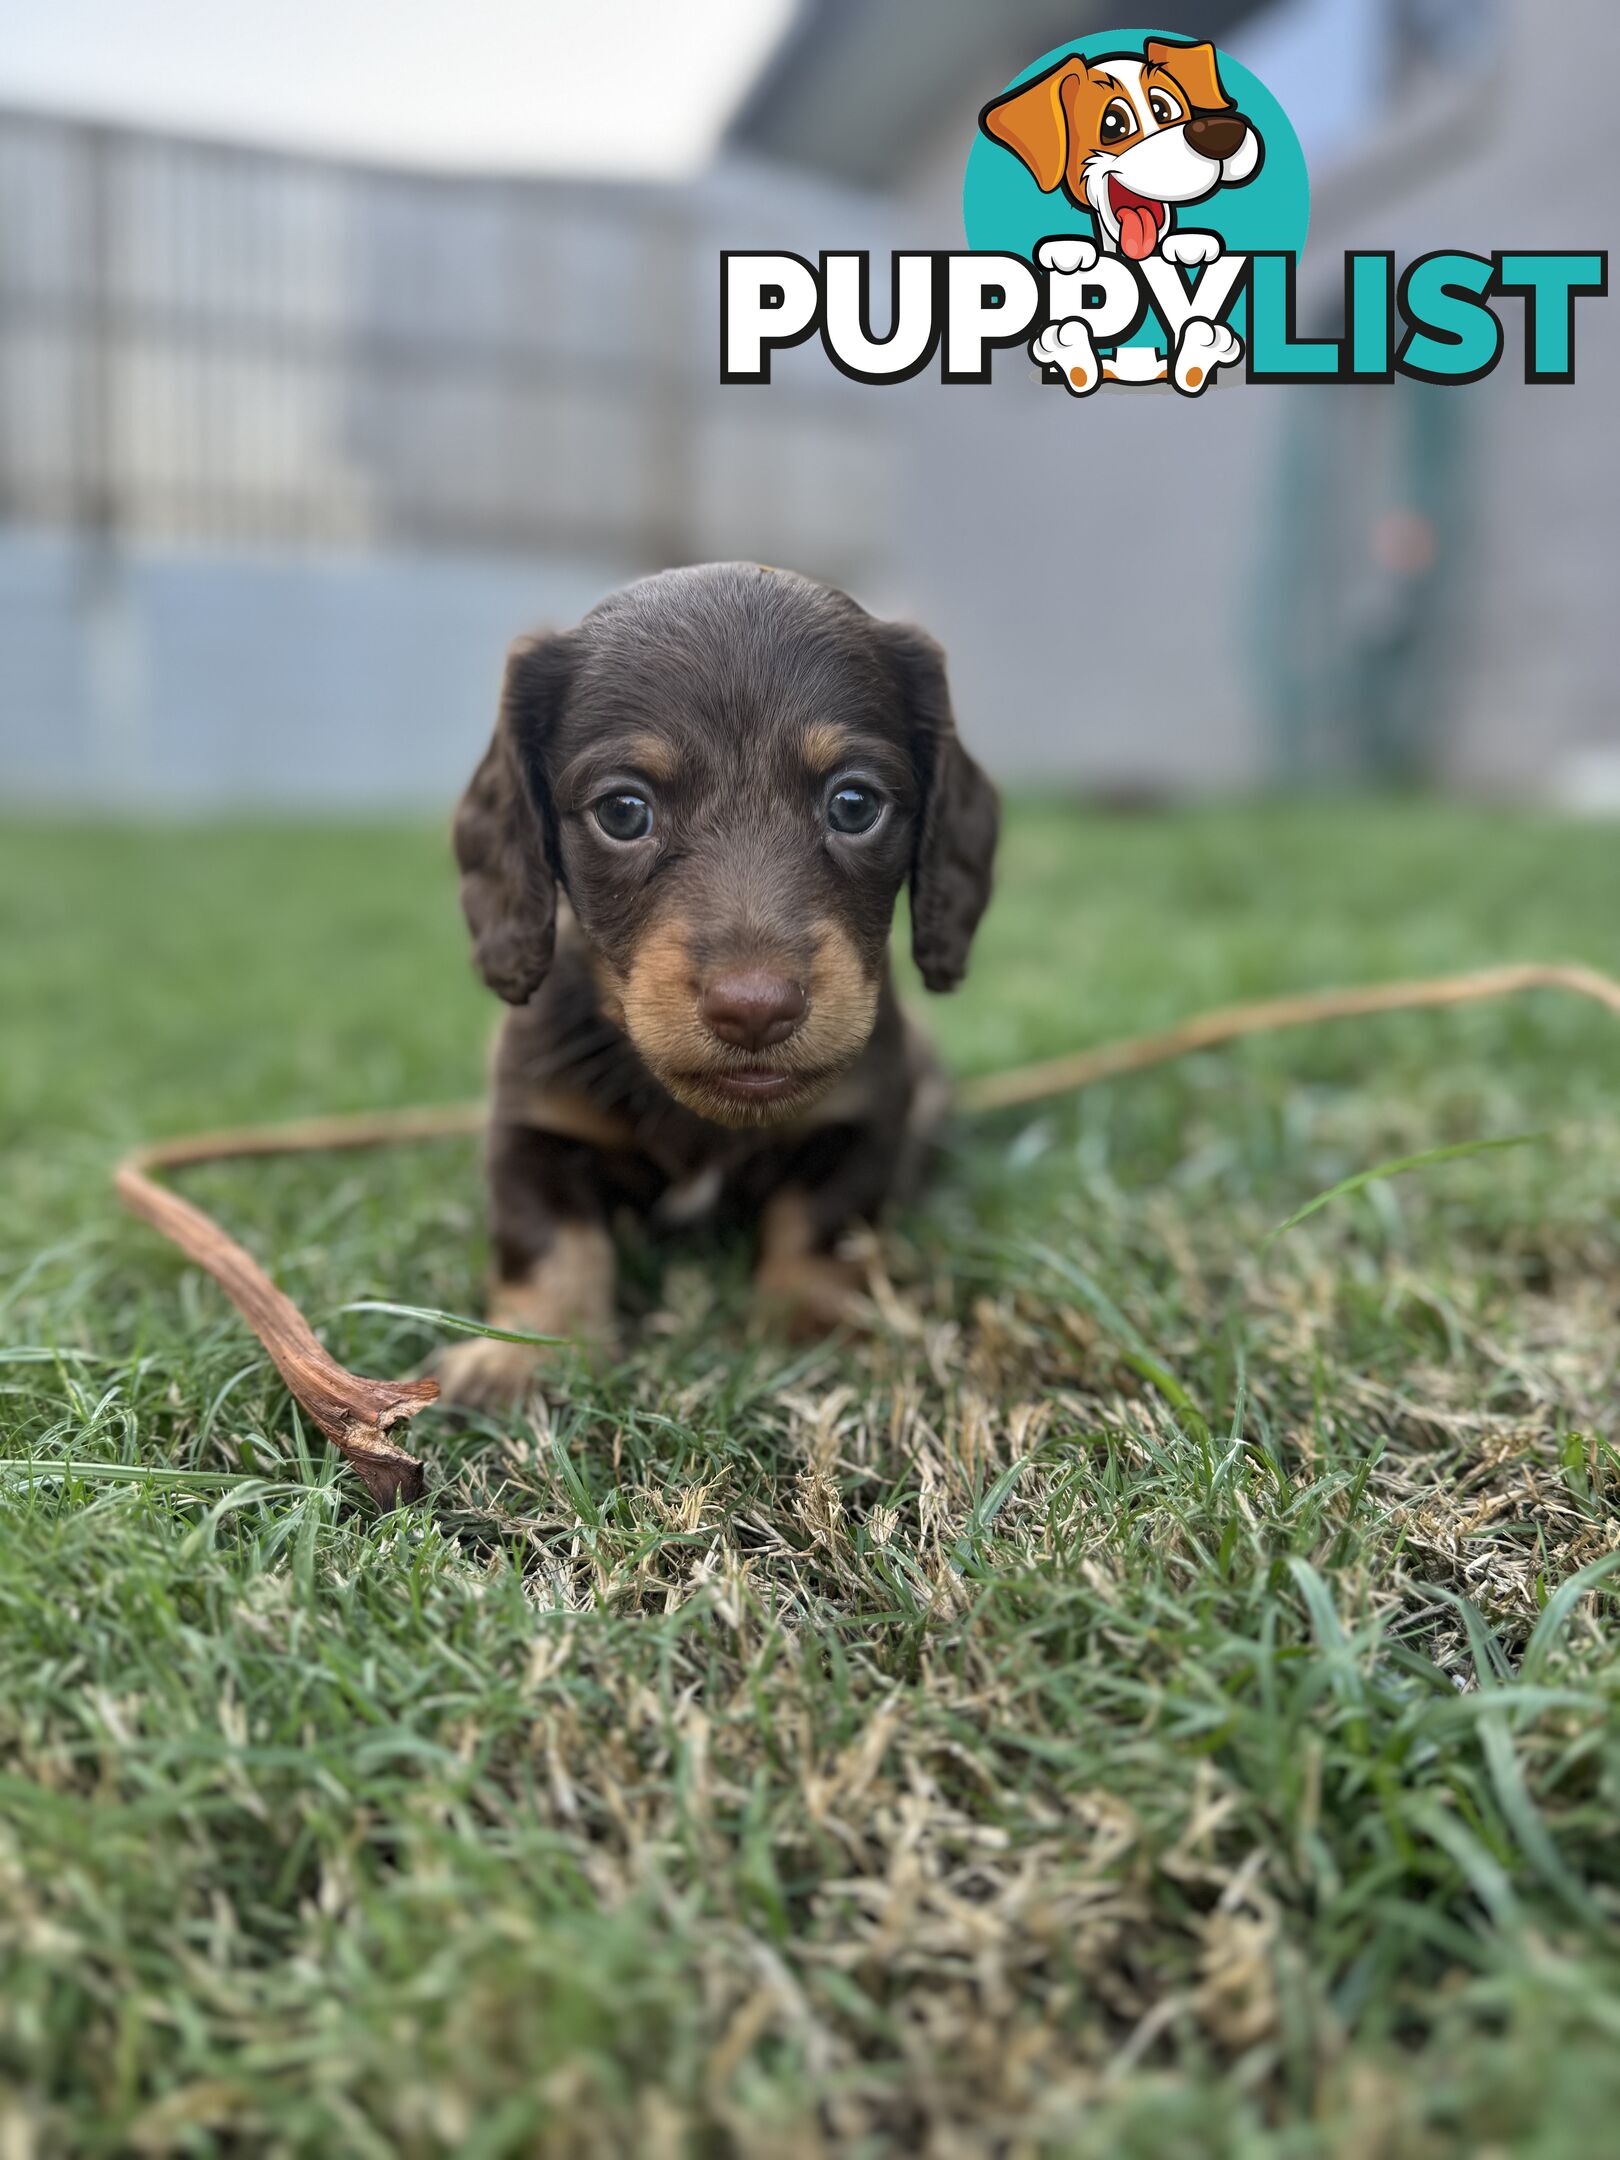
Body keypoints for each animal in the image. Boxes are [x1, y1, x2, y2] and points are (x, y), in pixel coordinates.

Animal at [444, 561, 1002, 1399]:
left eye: (855, 803)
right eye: (623, 811)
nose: (756, 1011)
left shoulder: (866, 1113)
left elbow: (822, 1220)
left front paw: (808, 1326)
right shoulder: (534, 1122)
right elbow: (548, 1237)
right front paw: (525, 1353)